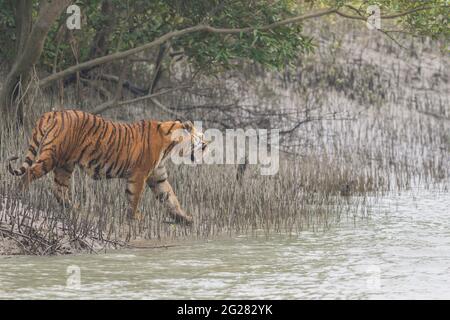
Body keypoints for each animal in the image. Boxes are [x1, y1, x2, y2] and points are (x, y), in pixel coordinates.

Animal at [7, 110, 207, 225]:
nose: (206, 146)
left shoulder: (158, 176)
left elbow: (170, 198)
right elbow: (135, 197)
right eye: (202, 140)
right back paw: (18, 194)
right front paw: (135, 217)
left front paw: (185, 218)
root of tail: (53, 112)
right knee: (29, 173)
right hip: (52, 155)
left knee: (59, 188)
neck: (171, 144)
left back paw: (73, 207)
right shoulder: (139, 174)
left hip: (65, 165)